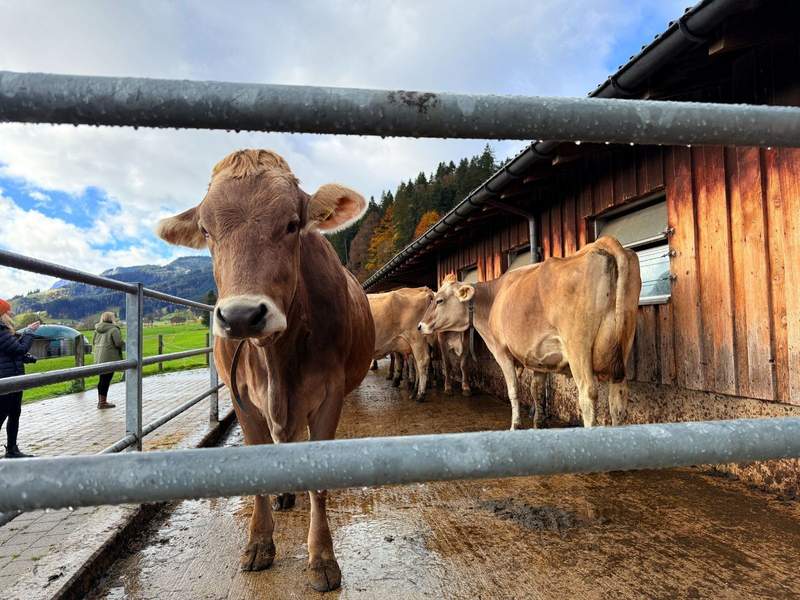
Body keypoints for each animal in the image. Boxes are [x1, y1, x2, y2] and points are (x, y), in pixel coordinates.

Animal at [156, 149, 374, 592]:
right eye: (206, 230)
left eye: (292, 224)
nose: (242, 315)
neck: (274, 359)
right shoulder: (242, 400)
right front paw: (259, 544)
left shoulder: (329, 394)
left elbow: (319, 480)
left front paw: (322, 557)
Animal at [419, 236, 640, 430]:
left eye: (439, 300)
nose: (420, 326)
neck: (493, 298)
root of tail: (602, 243)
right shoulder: (539, 357)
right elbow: (536, 390)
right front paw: (538, 423)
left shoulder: (501, 351)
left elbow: (513, 389)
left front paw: (516, 425)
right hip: (624, 343)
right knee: (618, 399)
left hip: (578, 347)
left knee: (587, 394)